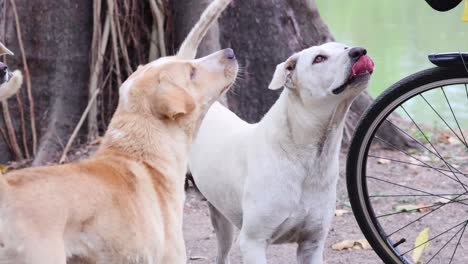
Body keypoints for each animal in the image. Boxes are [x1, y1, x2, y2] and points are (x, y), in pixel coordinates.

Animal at [188, 42, 374, 262]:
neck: (307, 157)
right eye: (319, 58)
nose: (359, 51)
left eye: (344, 47)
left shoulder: (312, 243)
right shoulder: (253, 242)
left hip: (222, 218)